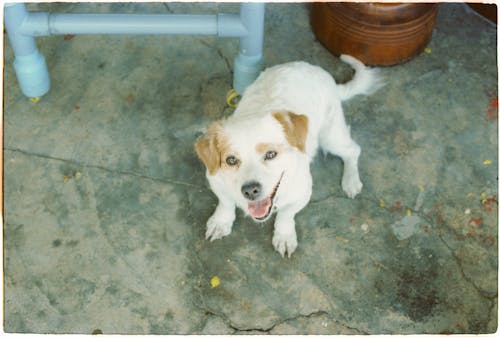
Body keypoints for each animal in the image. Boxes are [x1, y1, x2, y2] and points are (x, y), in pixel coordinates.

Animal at [195, 54, 382, 256]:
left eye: (271, 154)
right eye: (231, 160)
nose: (250, 191)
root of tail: (319, 72)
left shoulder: (303, 193)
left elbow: (286, 214)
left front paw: (284, 235)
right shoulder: (215, 181)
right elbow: (226, 203)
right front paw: (221, 222)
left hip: (330, 137)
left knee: (353, 150)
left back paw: (351, 181)